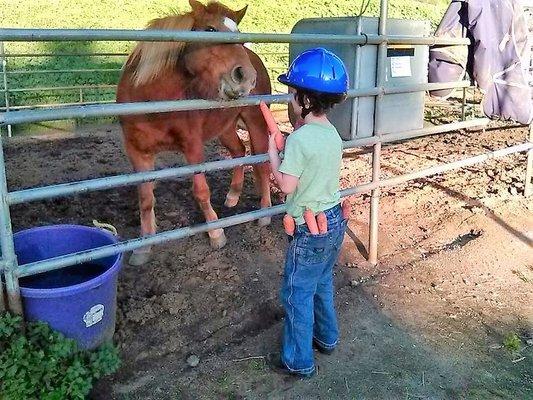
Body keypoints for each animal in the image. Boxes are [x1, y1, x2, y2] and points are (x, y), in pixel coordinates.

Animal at [118, 0, 272, 266]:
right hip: (226, 128)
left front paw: (216, 233)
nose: (245, 77)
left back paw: (265, 213)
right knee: (238, 152)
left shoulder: (192, 147)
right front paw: (143, 247)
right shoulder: (138, 153)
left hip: (257, 123)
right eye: (209, 30)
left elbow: (201, 191)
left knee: (262, 164)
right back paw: (233, 196)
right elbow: (145, 199)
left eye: (240, 35)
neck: (151, 101)